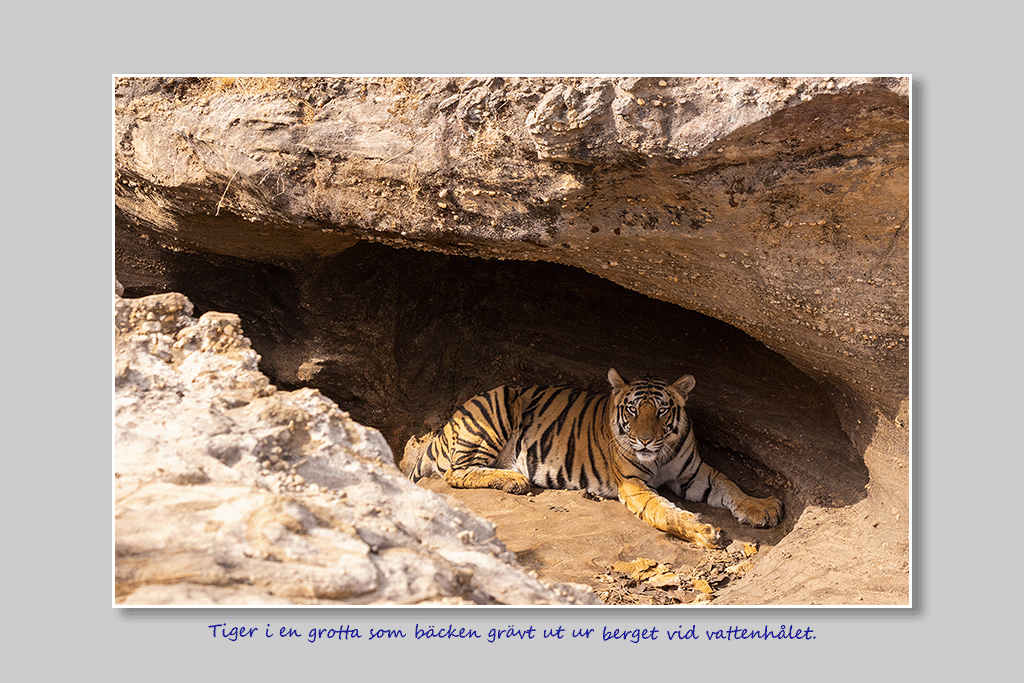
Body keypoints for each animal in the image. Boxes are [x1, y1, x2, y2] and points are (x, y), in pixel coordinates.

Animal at [403, 368, 778, 548]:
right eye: (632, 410)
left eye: (661, 411)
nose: (645, 440)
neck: (659, 455)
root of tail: (446, 426)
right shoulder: (634, 485)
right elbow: (665, 511)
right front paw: (702, 531)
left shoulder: (694, 474)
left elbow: (729, 486)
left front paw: (762, 507)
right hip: (497, 402)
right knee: (456, 472)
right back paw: (514, 480)